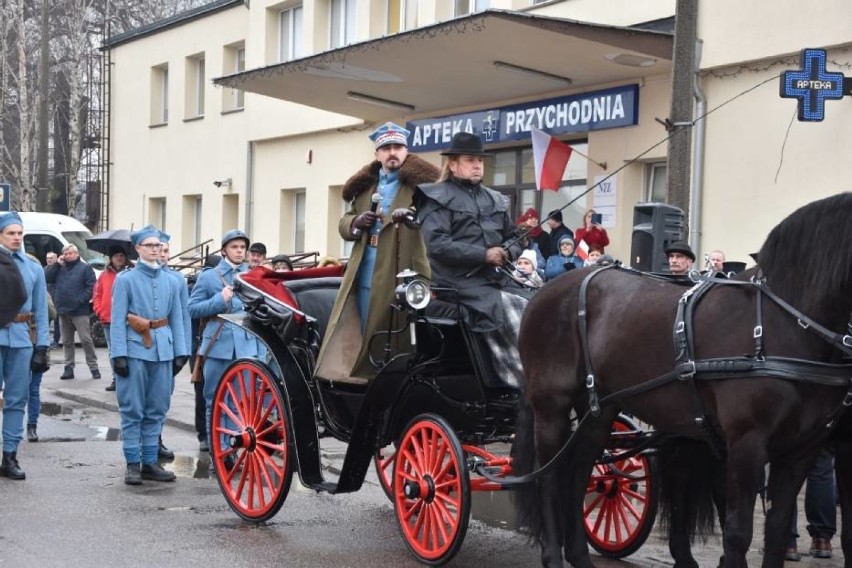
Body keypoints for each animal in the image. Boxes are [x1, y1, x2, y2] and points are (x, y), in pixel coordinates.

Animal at [512, 193, 852, 564]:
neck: (783, 322)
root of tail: (546, 292)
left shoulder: (802, 449)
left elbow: (775, 531)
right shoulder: (746, 443)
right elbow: (738, 532)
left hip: (598, 412)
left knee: (578, 474)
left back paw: (579, 556)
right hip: (551, 407)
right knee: (548, 477)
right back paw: (552, 555)